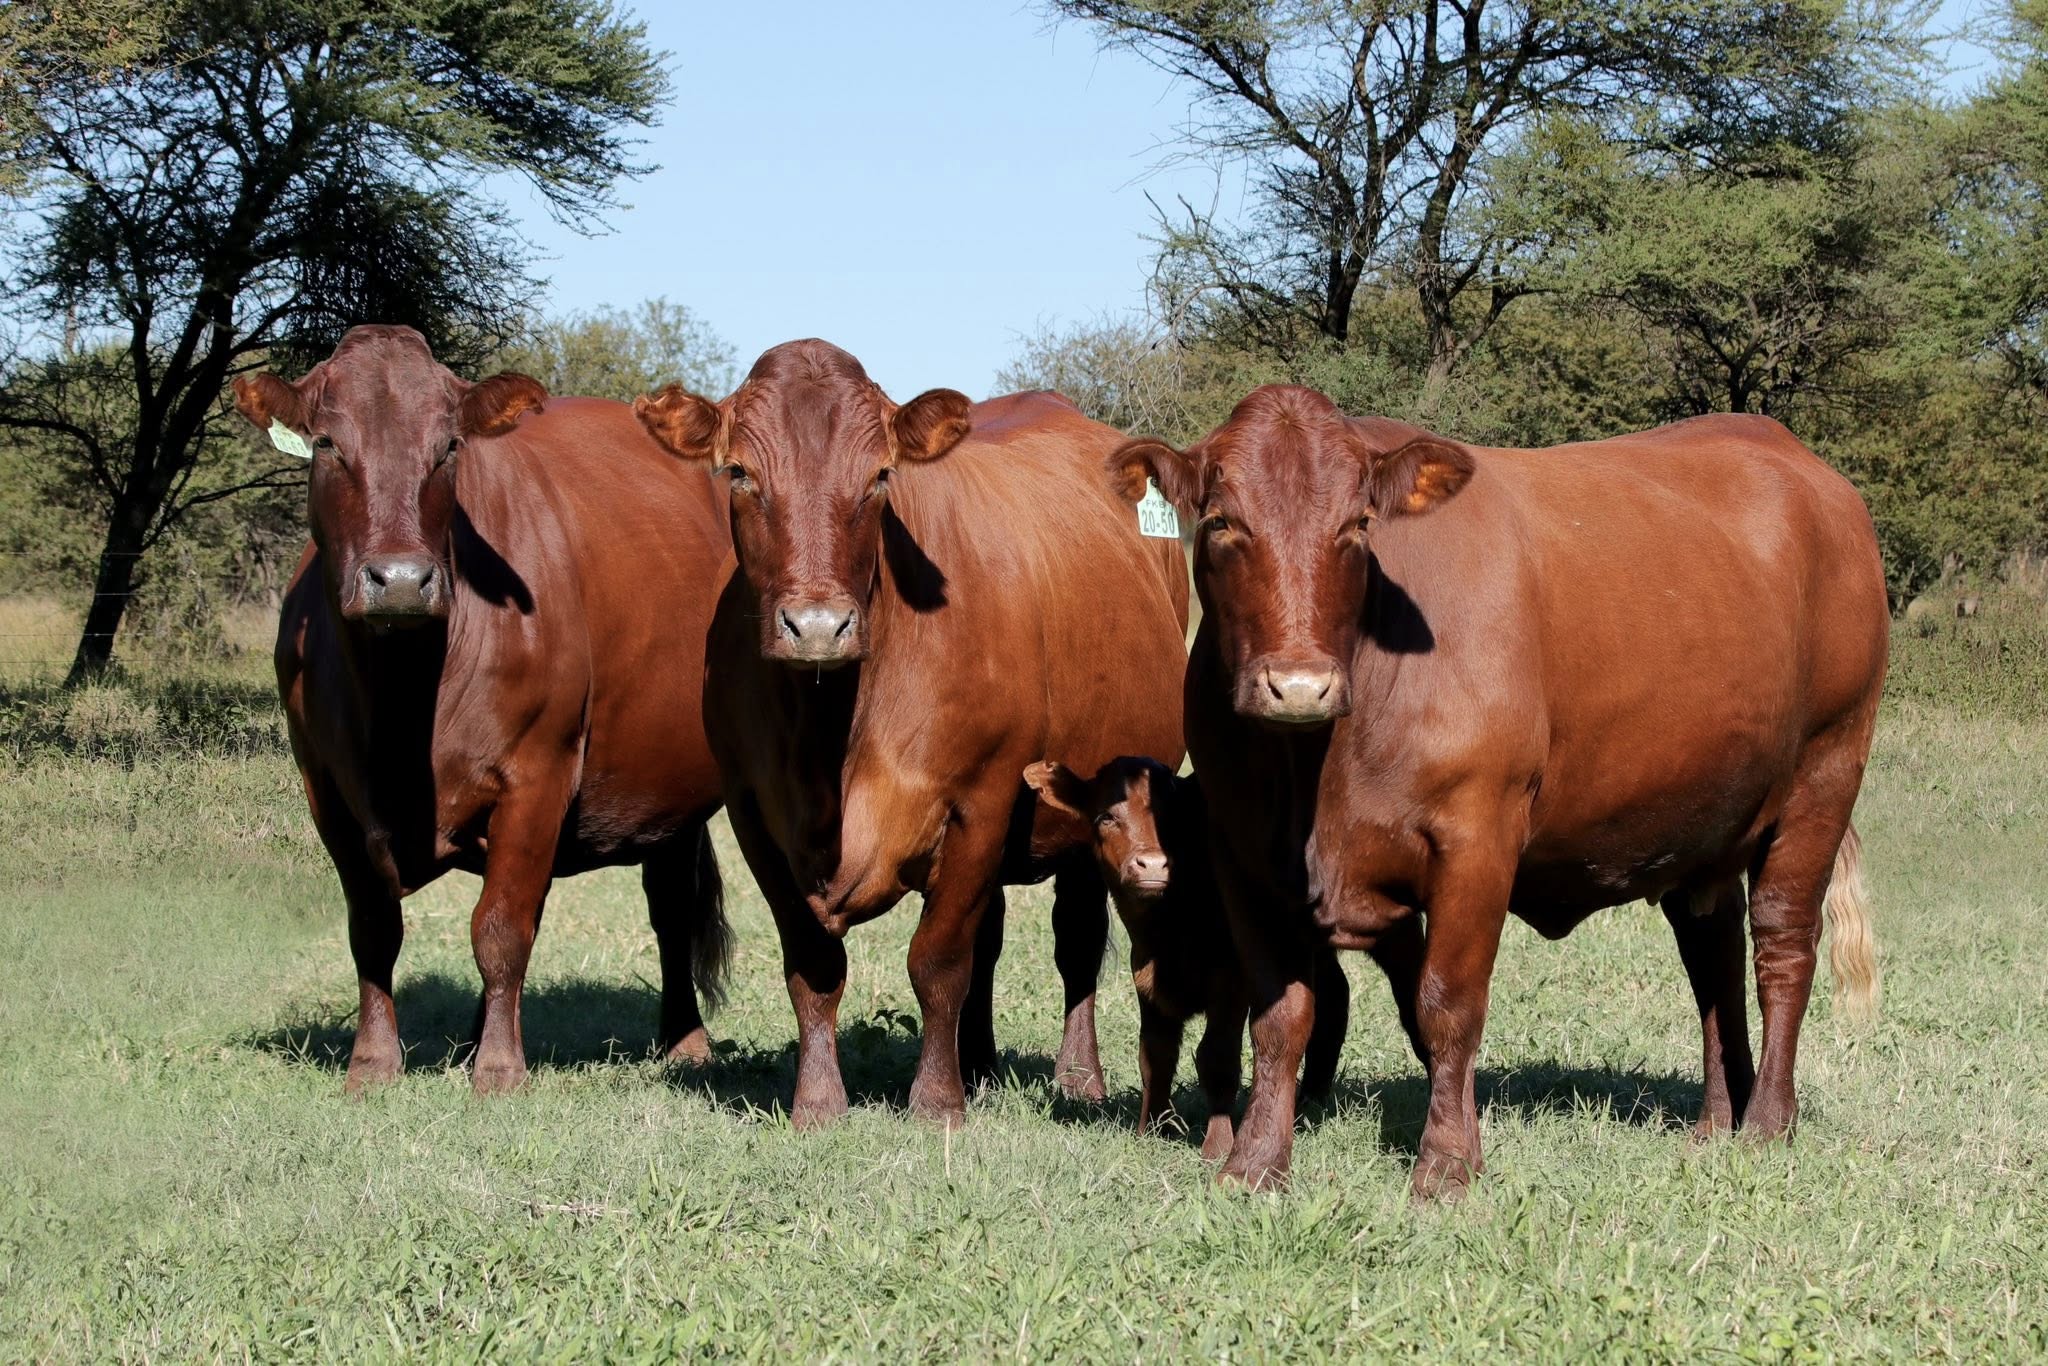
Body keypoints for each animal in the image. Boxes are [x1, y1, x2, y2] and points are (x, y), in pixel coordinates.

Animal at [232, 325, 734, 1095]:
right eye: (325, 442)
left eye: (448, 447)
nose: (399, 579)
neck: (402, 699)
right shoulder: (327, 793)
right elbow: (372, 930)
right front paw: (372, 1064)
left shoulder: (537, 774)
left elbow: (500, 929)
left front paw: (498, 1071)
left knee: (669, 906)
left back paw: (684, 1041)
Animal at [633, 340, 1189, 1126]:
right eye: (738, 472)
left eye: (879, 476)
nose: (817, 626)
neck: (829, 738)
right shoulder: (753, 814)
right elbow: (813, 964)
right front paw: (819, 1102)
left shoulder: (982, 799)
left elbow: (939, 959)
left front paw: (936, 1102)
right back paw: (979, 1063)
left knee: (1075, 940)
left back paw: (1077, 1076)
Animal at [1023, 756, 1349, 1159]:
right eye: (1106, 817)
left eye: (1172, 816)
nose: (1151, 864)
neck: (1170, 927)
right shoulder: (1146, 977)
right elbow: (1155, 1055)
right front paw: (1152, 1129)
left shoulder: (1230, 982)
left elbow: (1217, 1059)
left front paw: (1218, 1145)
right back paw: (1310, 1099)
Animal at [1112, 386, 1886, 1198]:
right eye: (1222, 523)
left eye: (1358, 525)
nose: (1298, 686)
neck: (1316, 775)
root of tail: (1803, 463)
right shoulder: (1242, 852)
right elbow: (1281, 1013)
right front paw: (1255, 1162)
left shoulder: (1477, 835)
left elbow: (1446, 1006)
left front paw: (1447, 1165)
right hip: (1704, 816)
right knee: (1714, 956)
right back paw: (1717, 1119)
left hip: (1825, 772)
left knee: (1783, 945)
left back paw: (1767, 1121)